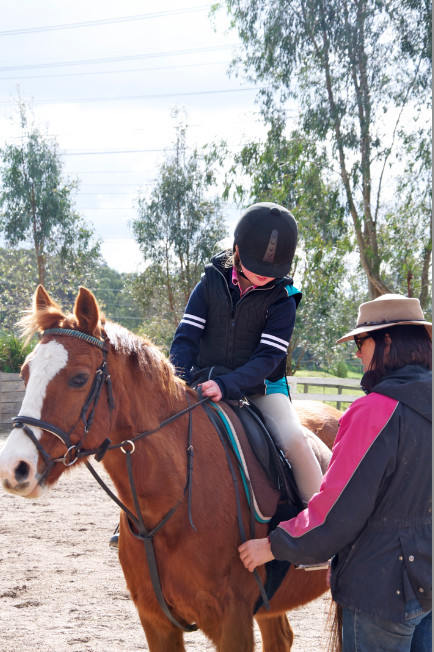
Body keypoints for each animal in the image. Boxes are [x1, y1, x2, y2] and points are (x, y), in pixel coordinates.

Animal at [0, 286, 340, 652]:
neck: (174, 499)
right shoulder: (156, 621)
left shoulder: (232, 623)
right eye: (25, 373)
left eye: (79, 379)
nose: (14, 468)